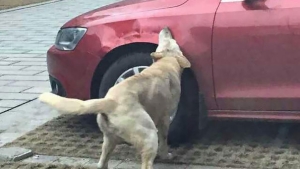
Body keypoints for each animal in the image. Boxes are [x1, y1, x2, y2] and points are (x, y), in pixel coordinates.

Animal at [38, 27, 191, 168]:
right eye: (172, 41)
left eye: (165, 40)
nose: (166, 28)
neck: (166, 62)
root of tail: (109, 101)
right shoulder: (164, 118)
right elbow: (164, 139)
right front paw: (165, 154)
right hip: (149, 134)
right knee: (146, 163)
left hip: (109, 140)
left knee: (102, 163)